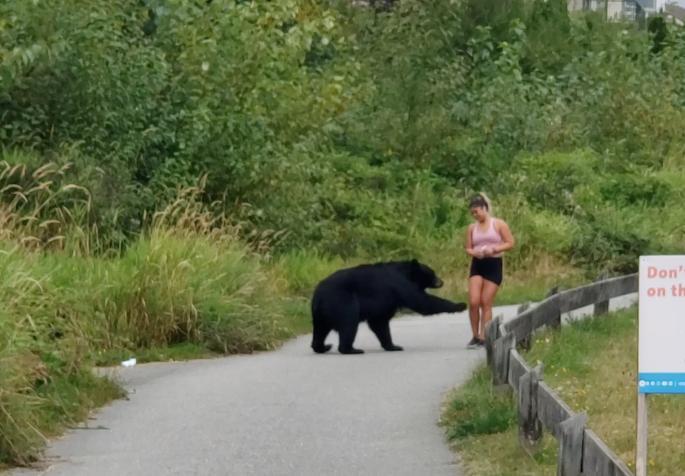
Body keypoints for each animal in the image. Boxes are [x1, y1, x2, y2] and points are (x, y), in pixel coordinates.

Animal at [310, 260, 464, 354]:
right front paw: (460, 305)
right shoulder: (400, 285)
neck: (406, 273)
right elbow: (422, 302)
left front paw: (393, 346)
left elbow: (380, 323)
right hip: (342, 302)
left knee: (320, 330)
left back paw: (323, 347)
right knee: (349, 323)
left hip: (320, 313)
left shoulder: (385, 302)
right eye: (432, 273)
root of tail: (318, 296)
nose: (441, 281)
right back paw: (351, 349)